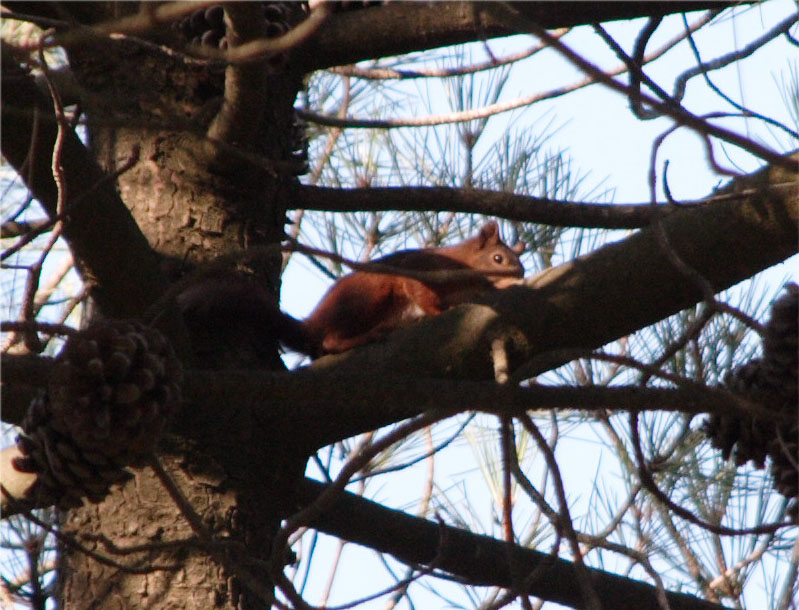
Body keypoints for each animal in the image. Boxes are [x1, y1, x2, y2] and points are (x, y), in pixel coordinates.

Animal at [282, 222, 524, 356]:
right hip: (367, 297)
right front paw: (438, 311)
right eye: (498, 258)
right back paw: (369, 335)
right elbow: (419, 292)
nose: (521, 275)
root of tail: (311, 324)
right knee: (330, 340)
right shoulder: (422, 268)